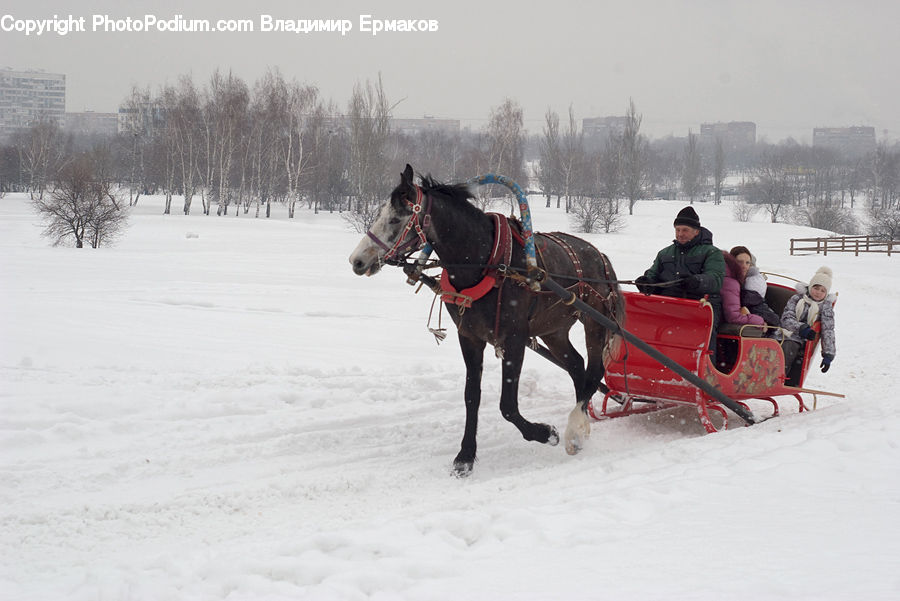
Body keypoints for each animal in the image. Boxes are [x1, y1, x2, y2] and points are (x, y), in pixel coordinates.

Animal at [348, 163, 624, 474]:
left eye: (395, 218)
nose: (357, 260)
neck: (485, 260)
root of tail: (600, 256)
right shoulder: (469, 337)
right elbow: (472, 395)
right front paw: (465, 455)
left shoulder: (514, 340)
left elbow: (508, 406)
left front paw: (545, 433)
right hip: (553, 330)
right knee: (577, 367)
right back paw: (580, 426)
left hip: (595, 322)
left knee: (594, 370)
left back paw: (574, 429)